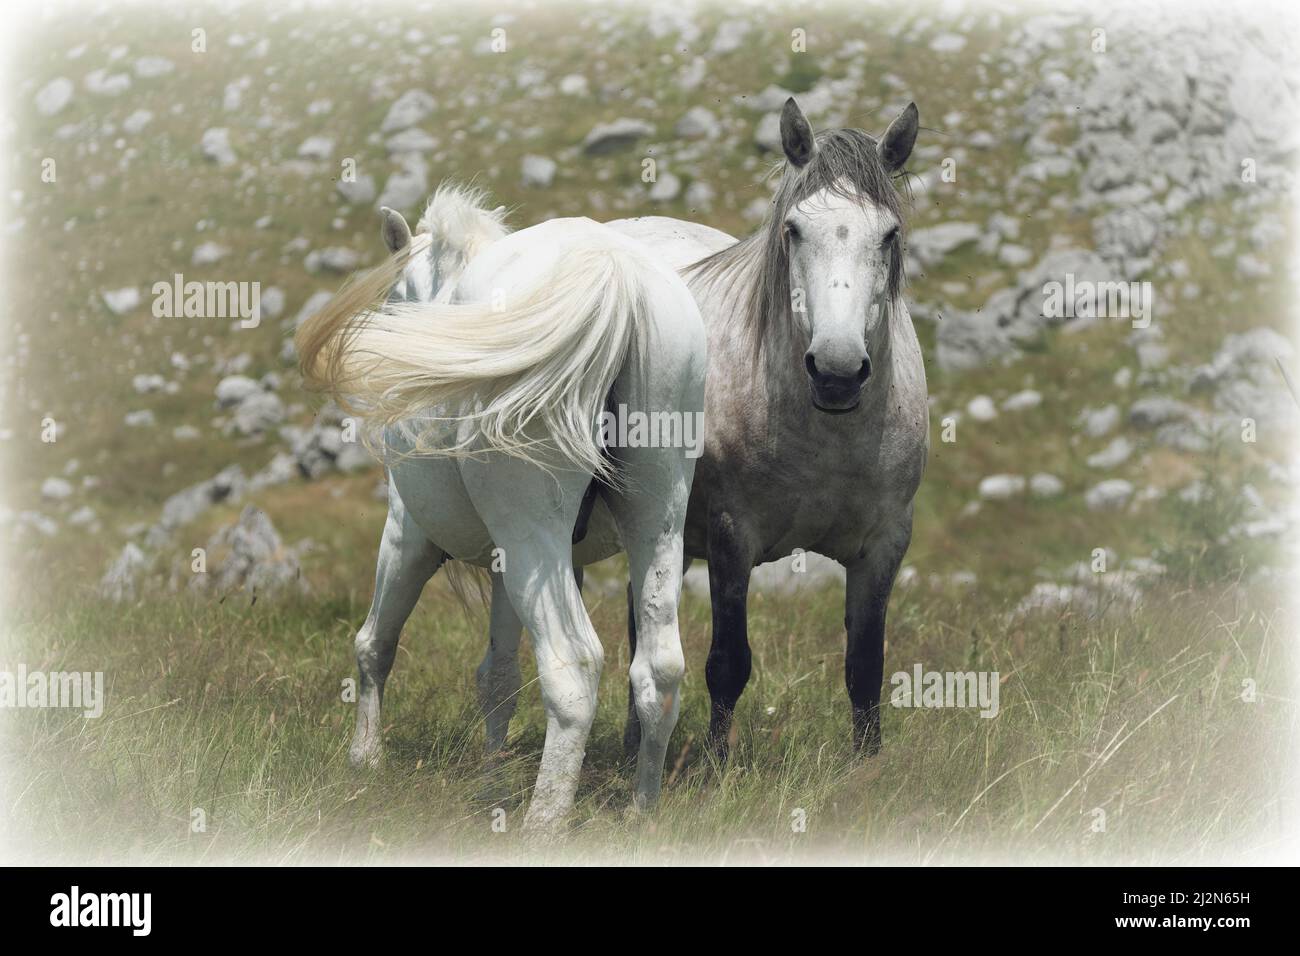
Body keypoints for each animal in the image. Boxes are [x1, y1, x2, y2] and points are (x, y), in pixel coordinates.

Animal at [296, 185, 707, 830]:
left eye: (395, 295)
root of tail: (616, 276)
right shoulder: (506, 564)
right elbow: (498, 677)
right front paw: (492, 780)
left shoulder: (407, 535)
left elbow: (374, 645)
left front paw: (365, 758)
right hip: (655, 523)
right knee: (659, 670)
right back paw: (642, 811)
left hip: (529, 535)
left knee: (574, 664)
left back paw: (544, 821)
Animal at [608, 97, 928, 759]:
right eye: (794, 230)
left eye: (888, 234)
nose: (837, 372)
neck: (828, 438)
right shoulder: (733, 536)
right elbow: (728, 663)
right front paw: (716, 765)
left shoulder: (886, 543)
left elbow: (866, 666)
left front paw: (868, 766)